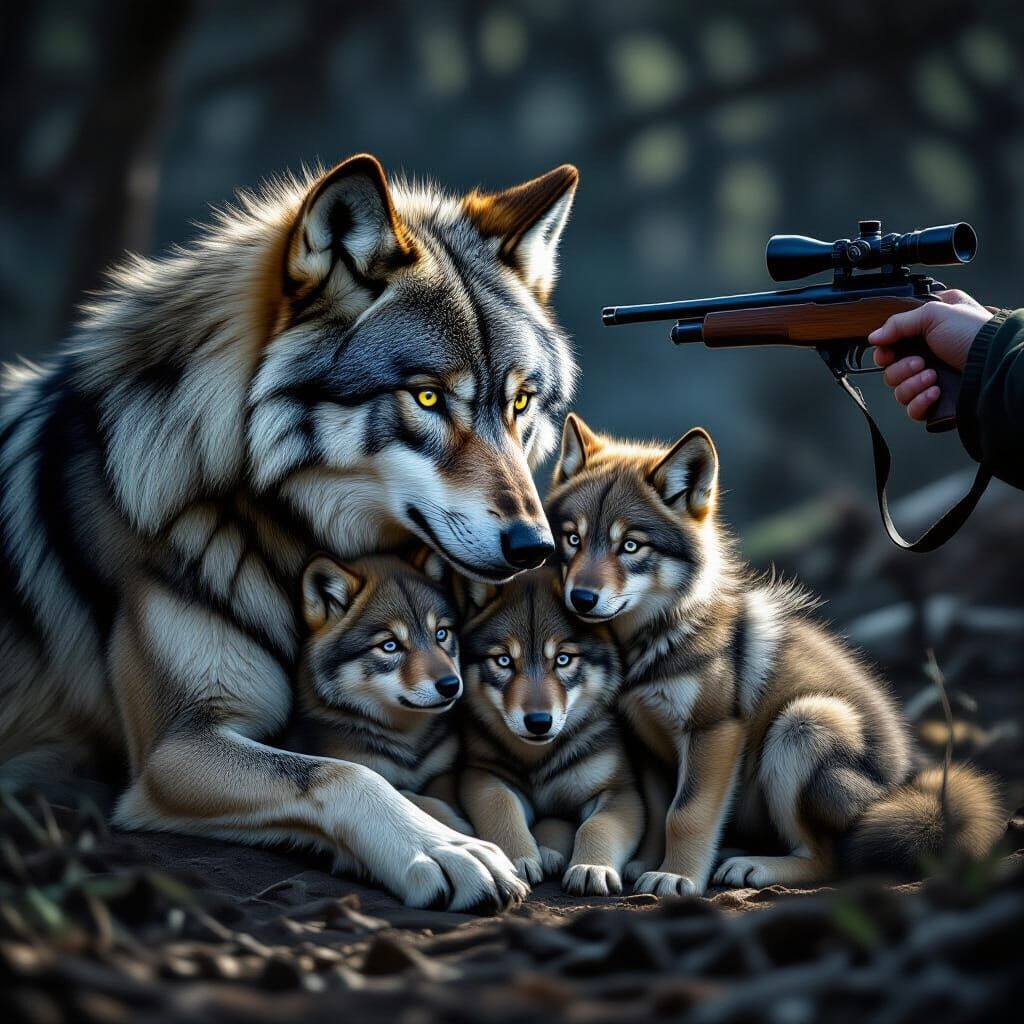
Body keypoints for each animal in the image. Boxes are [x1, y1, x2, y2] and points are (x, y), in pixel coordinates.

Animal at [0, 152, 580, 911]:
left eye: (520, 402)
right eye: (426, 396)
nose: (533, 547)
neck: (275, 535)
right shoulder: (175, 749)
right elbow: (343, 773)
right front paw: (442, 849)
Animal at [458, 566, 644, 895]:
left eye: (563, 659)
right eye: (503, 660)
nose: (538, 722)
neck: (538, 759)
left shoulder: (620, 790)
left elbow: (597, 826)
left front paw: (591, 867)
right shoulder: (481, 773)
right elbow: (501, 805)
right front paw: (517, 859)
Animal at [545, 413, 1005, 896]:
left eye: (630, 546)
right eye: (572, 539)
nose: (581, 598)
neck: (653, 640)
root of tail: (908, 782)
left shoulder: (714, 732)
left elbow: (685, 815)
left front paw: (676, 876)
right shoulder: (645, 742)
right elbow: (657, 814)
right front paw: (649, 864)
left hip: (802, 723)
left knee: (827, 860)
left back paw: (753, 867)